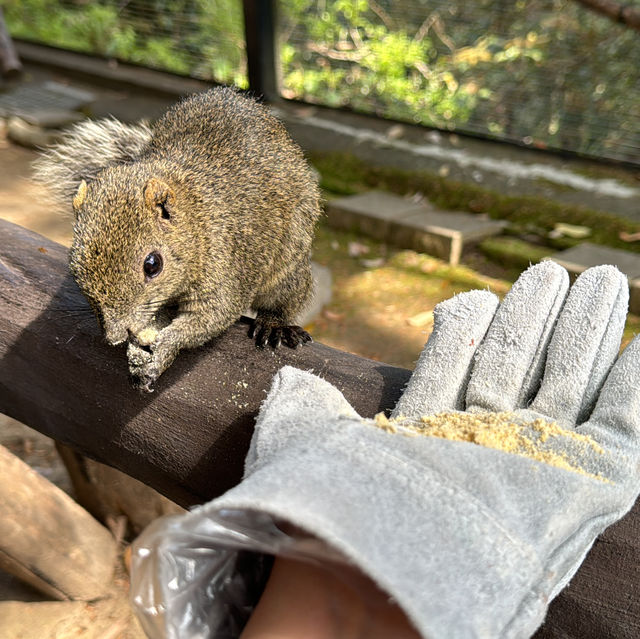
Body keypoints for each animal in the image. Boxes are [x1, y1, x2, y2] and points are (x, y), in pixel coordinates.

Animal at [35, 87, 320, 392]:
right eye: (74, 268)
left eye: (152, 265)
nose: (116, 337)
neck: (196, 220)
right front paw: (138, 352)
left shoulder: (225, 267)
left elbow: (209, 317)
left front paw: (164, 349)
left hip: (288, 266)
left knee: (286, 299)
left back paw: (274, 323)